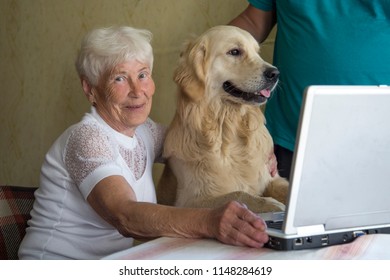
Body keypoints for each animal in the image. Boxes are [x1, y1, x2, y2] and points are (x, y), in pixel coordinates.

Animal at [157, 25, 288, 212]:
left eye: (257, 52)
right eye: (234, 52)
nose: (275, 73)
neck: (228, 127)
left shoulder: (271, 178)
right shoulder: (189, 202)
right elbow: (238, 194)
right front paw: (270, 204)